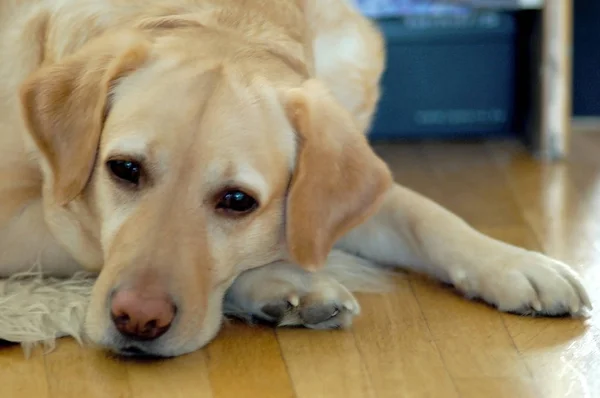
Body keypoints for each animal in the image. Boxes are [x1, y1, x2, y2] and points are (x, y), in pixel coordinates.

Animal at [0, 0, 592, 360]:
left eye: (238, 201)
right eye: (123, 169)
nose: (137, 320)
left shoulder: (343, 186)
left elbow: (425, 214)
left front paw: (516, 264)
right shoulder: (28, 216)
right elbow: (88, 243)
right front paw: (285, 284)